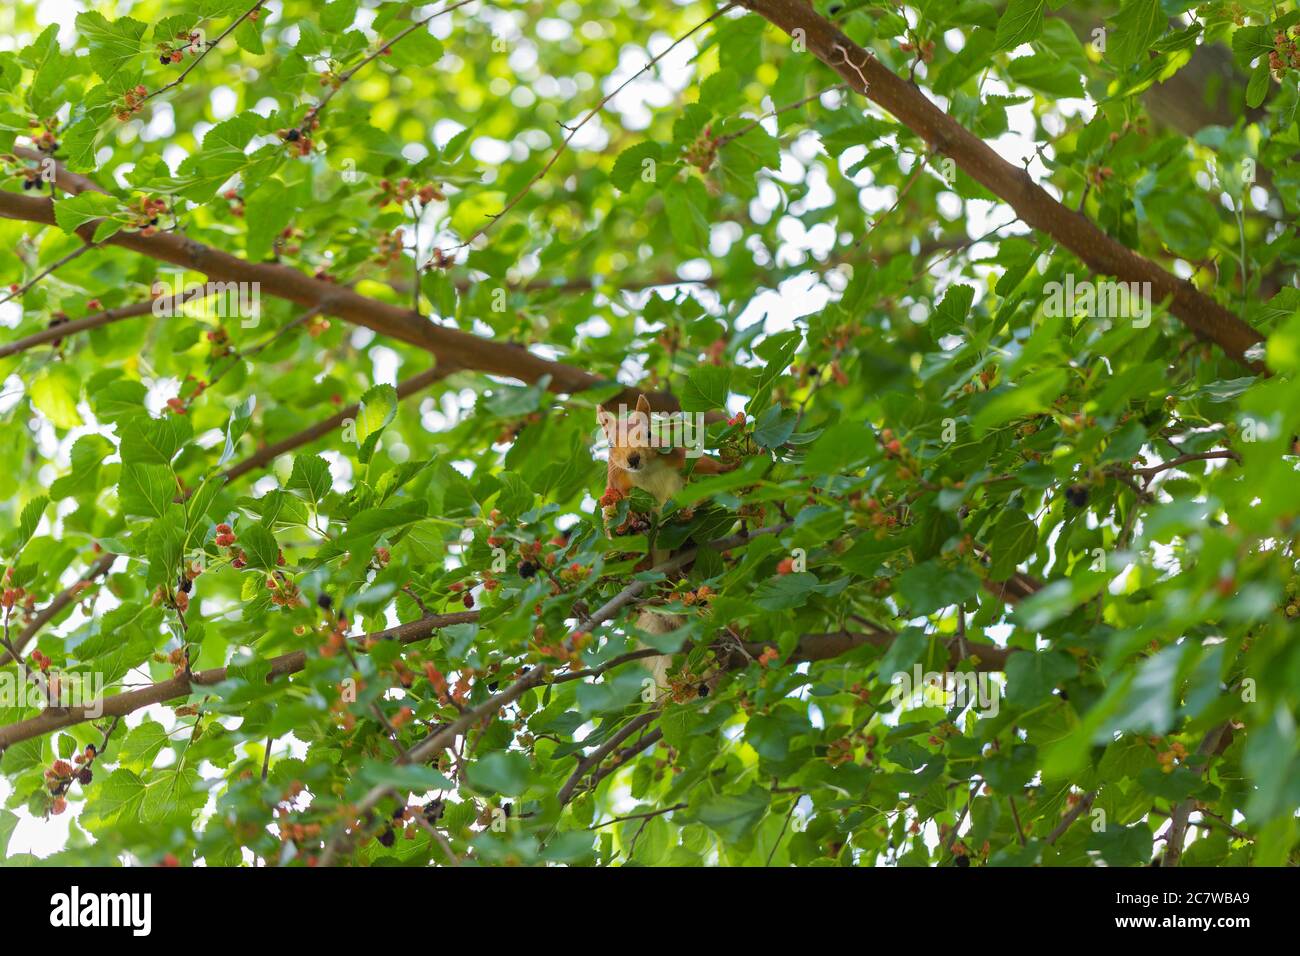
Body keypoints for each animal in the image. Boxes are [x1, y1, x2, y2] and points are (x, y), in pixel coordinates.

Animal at [596, 394, 734, 696]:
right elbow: (616, 513)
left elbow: (705, 465)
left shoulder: (676, 458)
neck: (646, 471)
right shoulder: (618, 487)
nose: (633, 459)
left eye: (649, 434)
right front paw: (633, 521)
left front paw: (731, 467)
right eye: (610, 444)